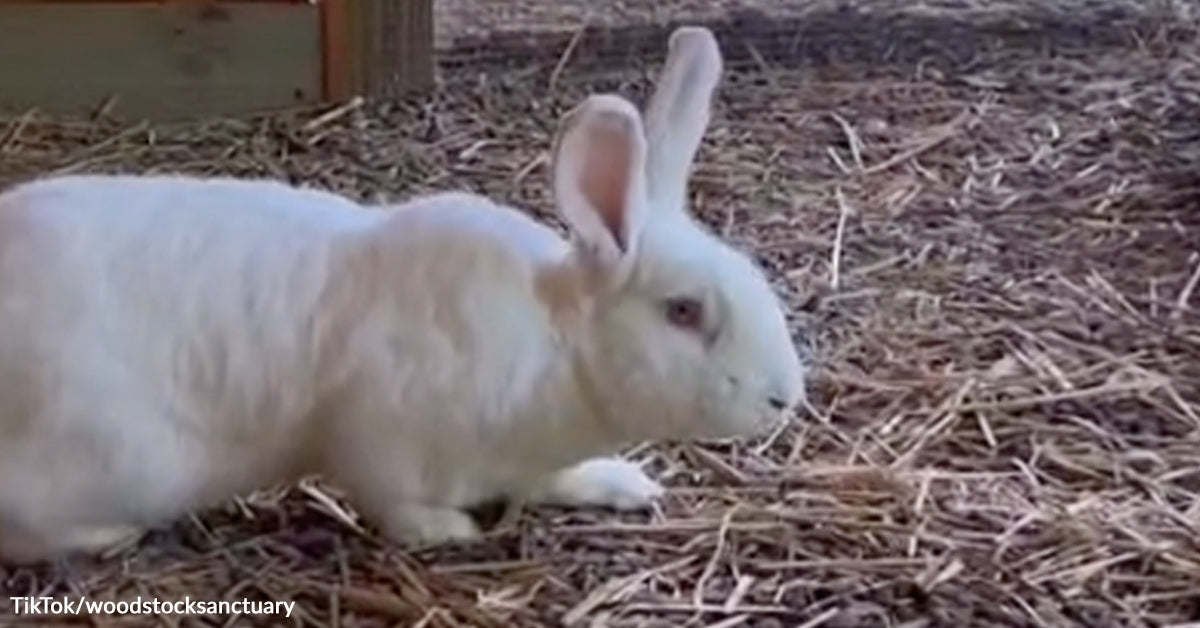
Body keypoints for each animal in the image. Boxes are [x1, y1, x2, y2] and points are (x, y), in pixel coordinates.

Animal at [0, 26, 805, 564]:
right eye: (684, 312)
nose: (784, 397)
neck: (559, 347)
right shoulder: (380, 437)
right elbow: (397, 506)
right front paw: (451, 531)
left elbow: (559, 477)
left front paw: (626, 484)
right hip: (116, 460)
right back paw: (110, 534)